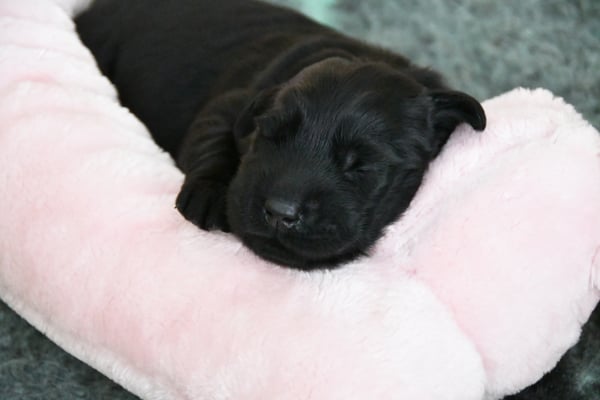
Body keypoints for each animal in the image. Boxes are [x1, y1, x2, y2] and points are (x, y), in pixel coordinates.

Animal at [76, 0, 486, 269]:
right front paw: (207, 194)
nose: (280, 213)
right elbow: (211, 135)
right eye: (270, 136)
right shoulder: (232, 103)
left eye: (361, 166)